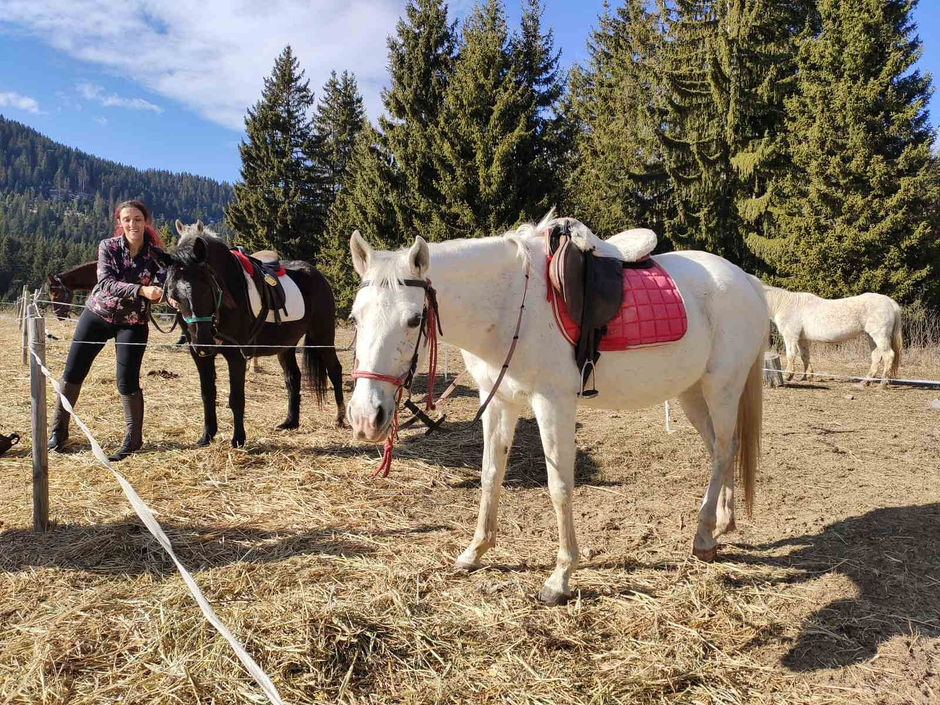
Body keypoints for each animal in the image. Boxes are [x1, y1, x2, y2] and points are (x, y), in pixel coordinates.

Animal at [346, 216, 772, 604]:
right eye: (354, 316)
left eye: (414, 319)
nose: (366, 418)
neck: (509, 305)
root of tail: (746, 280)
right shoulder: (499, 401)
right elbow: (490, 475)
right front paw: (475, 552)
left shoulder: (552, 403)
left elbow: (560, 486)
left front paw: (560, 576)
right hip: (692, 393)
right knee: (723, 448)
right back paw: (721, 526)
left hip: (722, 387)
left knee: (722, 451)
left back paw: (702, 536)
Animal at [764, 284, 904, 384]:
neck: (784, 305)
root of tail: (890, 302)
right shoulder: (801, 339)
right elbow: (805, 356)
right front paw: (807, 377)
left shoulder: (790, 336)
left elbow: (791, 355)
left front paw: (788, 376)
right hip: (872, 337)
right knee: (876, 357)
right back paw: (866, 382)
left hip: (880, 336)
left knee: (889, 355)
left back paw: (883, 382)